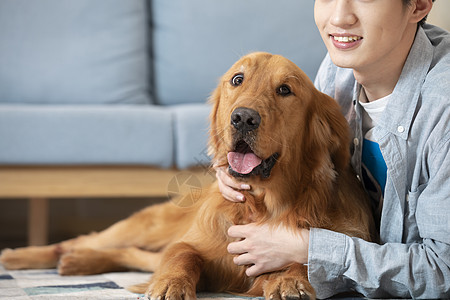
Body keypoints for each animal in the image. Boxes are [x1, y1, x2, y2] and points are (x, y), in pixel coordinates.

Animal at [0, 52, 374, 298]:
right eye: (237, 79)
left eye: (285, 89)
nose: (243, 118)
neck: (263, 204)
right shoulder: (194, 243)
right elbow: (181, 255)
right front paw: (170, 285)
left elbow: (304, 256)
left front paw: (289, 280)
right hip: (148, 226)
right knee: (87, 240)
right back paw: (23, 256)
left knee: (134, 254)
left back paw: (77, 263)